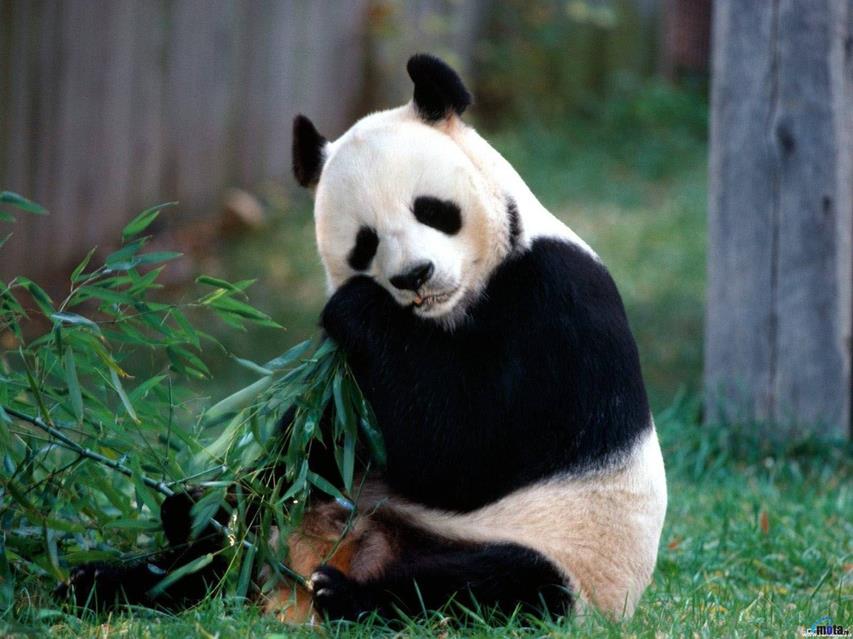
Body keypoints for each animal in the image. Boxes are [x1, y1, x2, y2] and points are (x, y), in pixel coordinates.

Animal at [62, 54, 667, 624]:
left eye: (432, 209)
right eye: (364, 243)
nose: (414, 276)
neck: (447, 312)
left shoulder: (554, 305)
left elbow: (462, 452)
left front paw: (355, 306)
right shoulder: (352, 386)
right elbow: (322, 439)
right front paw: (199, 505)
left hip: (569, 558)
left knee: (490, 587)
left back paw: (347, 595)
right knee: (225, 553)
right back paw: (120, 569)